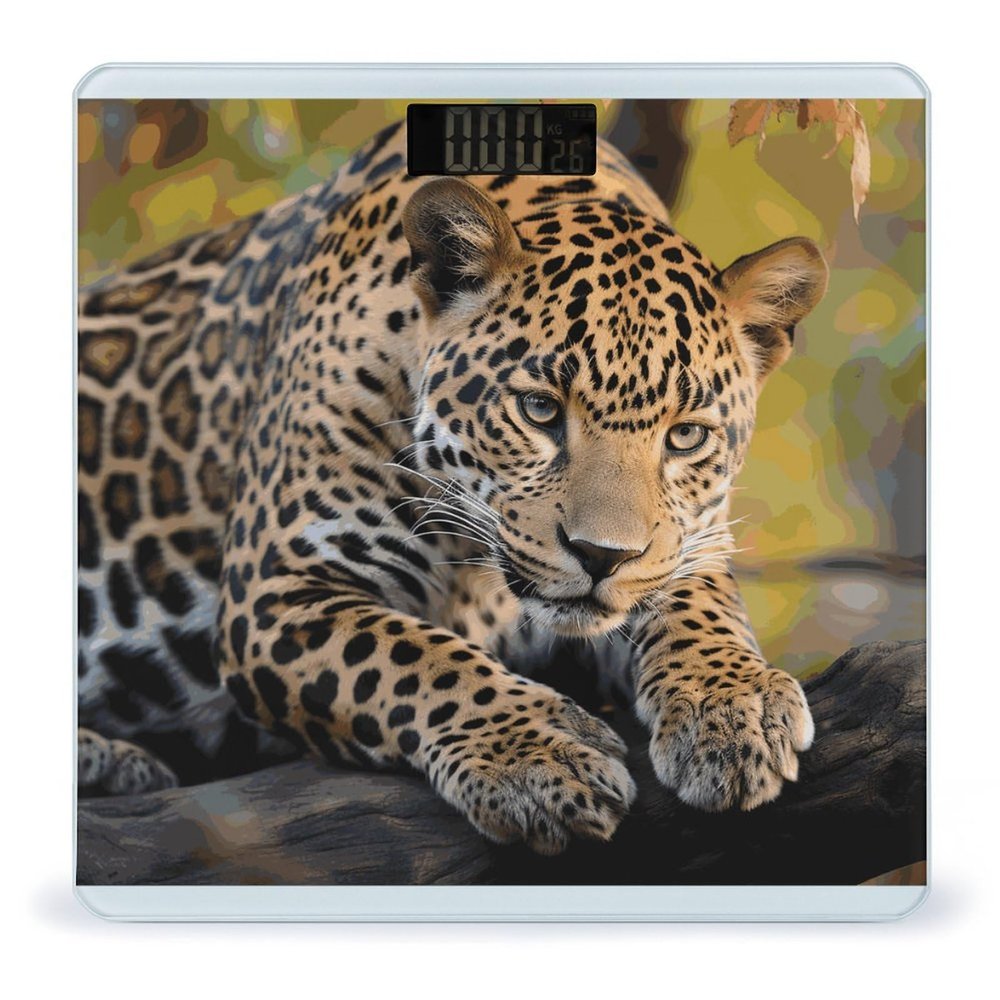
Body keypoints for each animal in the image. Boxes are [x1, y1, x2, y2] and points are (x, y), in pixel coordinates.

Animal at [77, 119, 827, 853]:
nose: (602, 557)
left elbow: (700, 605)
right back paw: (111, 760)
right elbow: (416, 657)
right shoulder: (275, 591)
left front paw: (734, 705)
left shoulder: (686, 545)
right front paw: (537, 758)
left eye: (685, 436)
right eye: (540, 409)